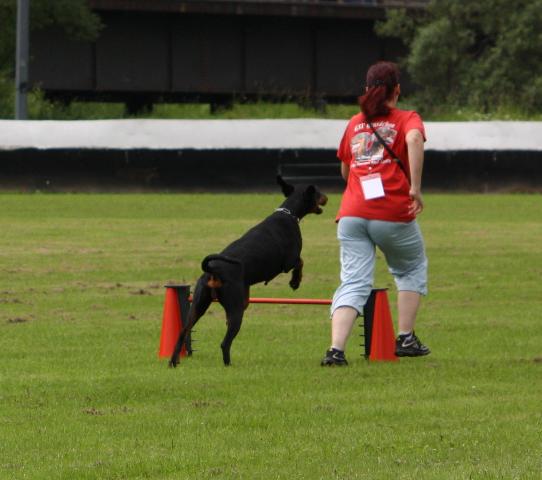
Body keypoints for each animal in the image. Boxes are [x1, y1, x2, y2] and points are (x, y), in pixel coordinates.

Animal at [170, 176, 330, 368]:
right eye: (318, 192)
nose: (327, 197)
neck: (288, 213)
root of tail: (212, 269)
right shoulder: (288, 261)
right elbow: (300, 261)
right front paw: (295, 282)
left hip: (199, 304)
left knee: (183, 331)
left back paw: (173, 362)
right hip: (236, 308)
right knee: (225, 343)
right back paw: (228, 365)